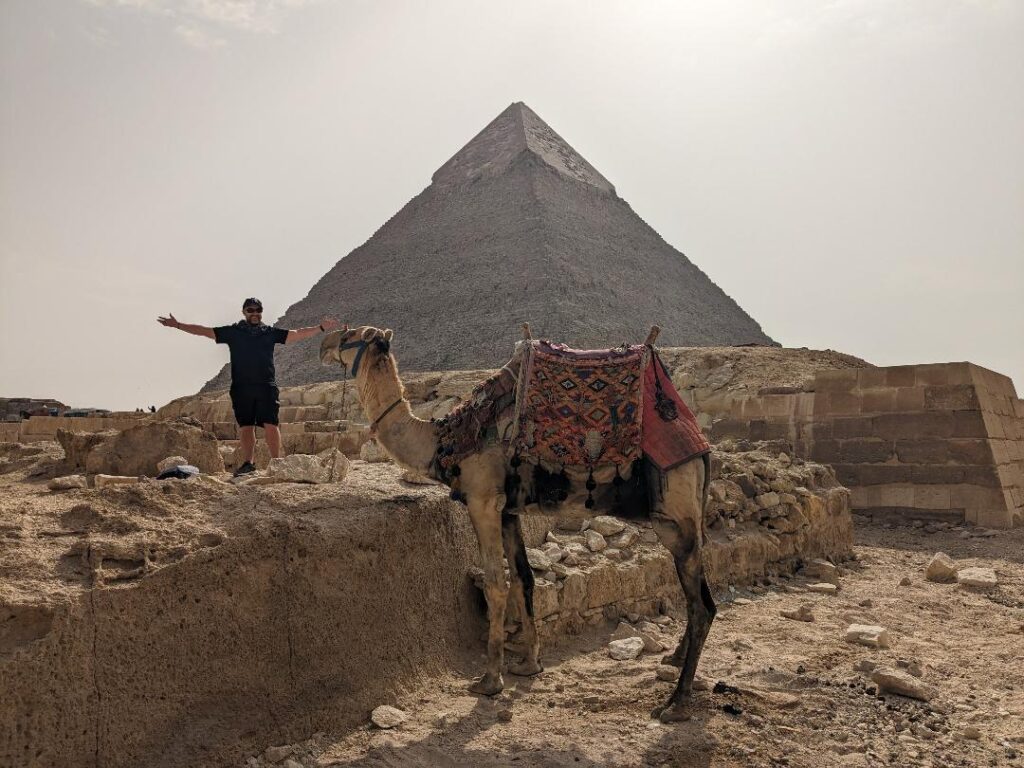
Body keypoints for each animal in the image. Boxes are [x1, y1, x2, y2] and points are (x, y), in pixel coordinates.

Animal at [317, 327, 712, 724]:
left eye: (351, 334)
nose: (323, 344)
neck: (446, 441)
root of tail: (702, 447)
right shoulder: (508, 511)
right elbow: (524, 579)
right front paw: (529, 664)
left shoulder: (483, 501)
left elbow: (496, 584)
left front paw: (490, 681)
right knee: (696, 594)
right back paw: (674, 658)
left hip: (675, 513)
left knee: (702, 604)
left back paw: (676, 703)